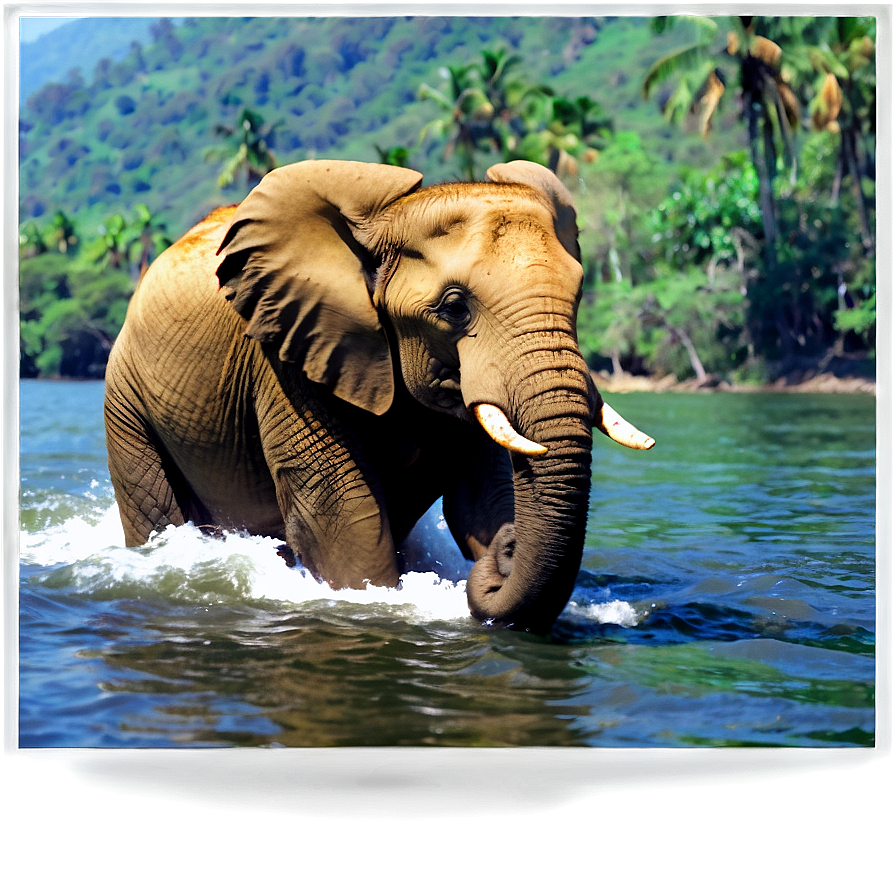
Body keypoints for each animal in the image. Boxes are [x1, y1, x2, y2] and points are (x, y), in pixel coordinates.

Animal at [104, 159, 654, 634]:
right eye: (454, 308)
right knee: (155, 511)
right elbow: (339, 512)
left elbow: (479, 498)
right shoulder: (285, 352)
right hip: (124, 399)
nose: (508, 549)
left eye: (579, 295)